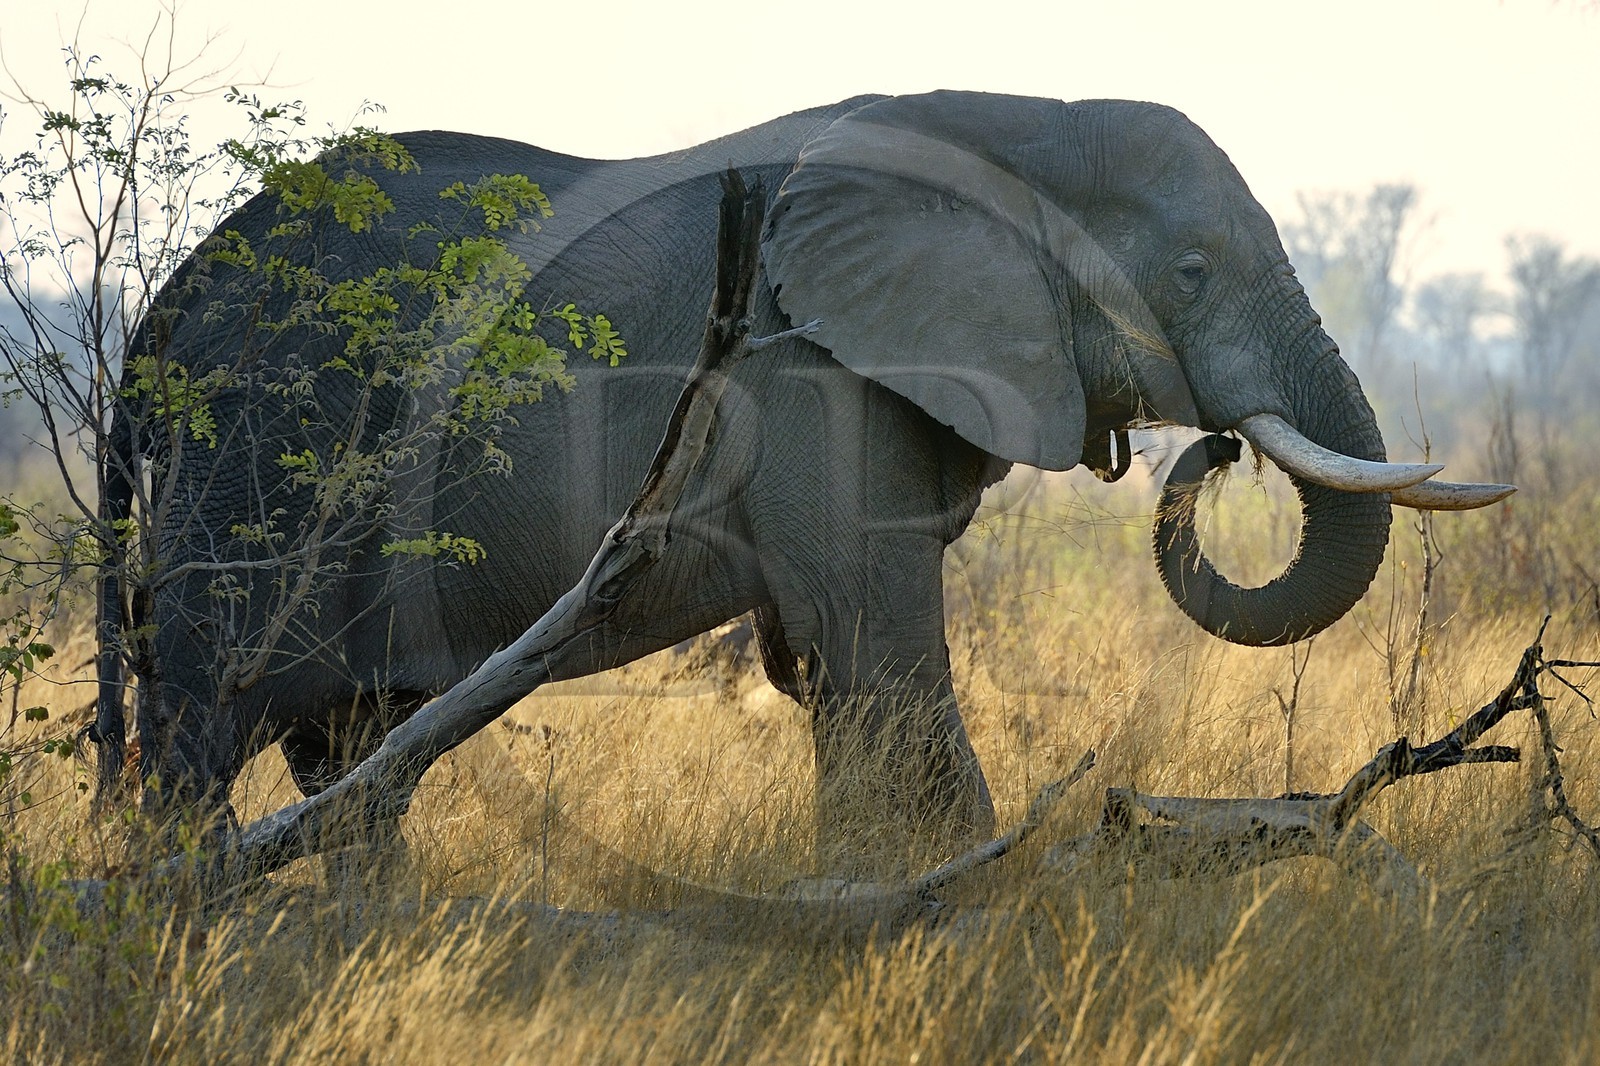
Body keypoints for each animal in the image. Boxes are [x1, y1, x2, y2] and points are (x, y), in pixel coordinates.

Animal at [95, 90, 1508, 854]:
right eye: (1194, 272)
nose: (1213, 447)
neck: (1011, 118)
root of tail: (164, 306)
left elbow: (830, 670)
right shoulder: (806, 372)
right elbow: (878, 644)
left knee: (345, 753)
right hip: (258, 442)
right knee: (206, 715)